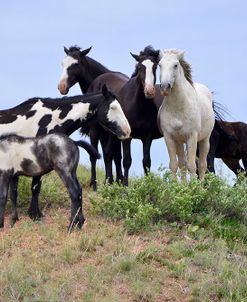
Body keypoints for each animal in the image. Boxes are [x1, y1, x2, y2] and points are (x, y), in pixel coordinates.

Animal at [57, 44, 128, 189]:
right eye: (62, 63)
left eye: (76, 64)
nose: (62, 86)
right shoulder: (111, 133)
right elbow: (114, 155)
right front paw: (116, 180)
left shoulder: (101, 131)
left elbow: (103, 154)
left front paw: (105, 181)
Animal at [87, 46, 162, 185]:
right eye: (140, 67)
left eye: (155, 67)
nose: (149, 91)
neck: (139, 105)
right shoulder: (128, 136)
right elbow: (127, 160)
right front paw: (126, 186)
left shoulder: (147, 137)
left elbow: (146, 162)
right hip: (95, 129)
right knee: (94, 155)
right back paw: (94, 184)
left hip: (111, 133)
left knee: (108, 154)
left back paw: (109, 182)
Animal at [158, 49, 214, 179]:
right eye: (159, 65)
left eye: (175, 65)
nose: (164, 87)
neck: (179, 107)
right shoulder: (169, 137)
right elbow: (174, 165)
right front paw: (175, 185)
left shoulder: (192, 136)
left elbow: (192, 166)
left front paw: (193, 185)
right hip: (180, 142)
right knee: (182, 164)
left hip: (205, 140)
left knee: (202, 165)